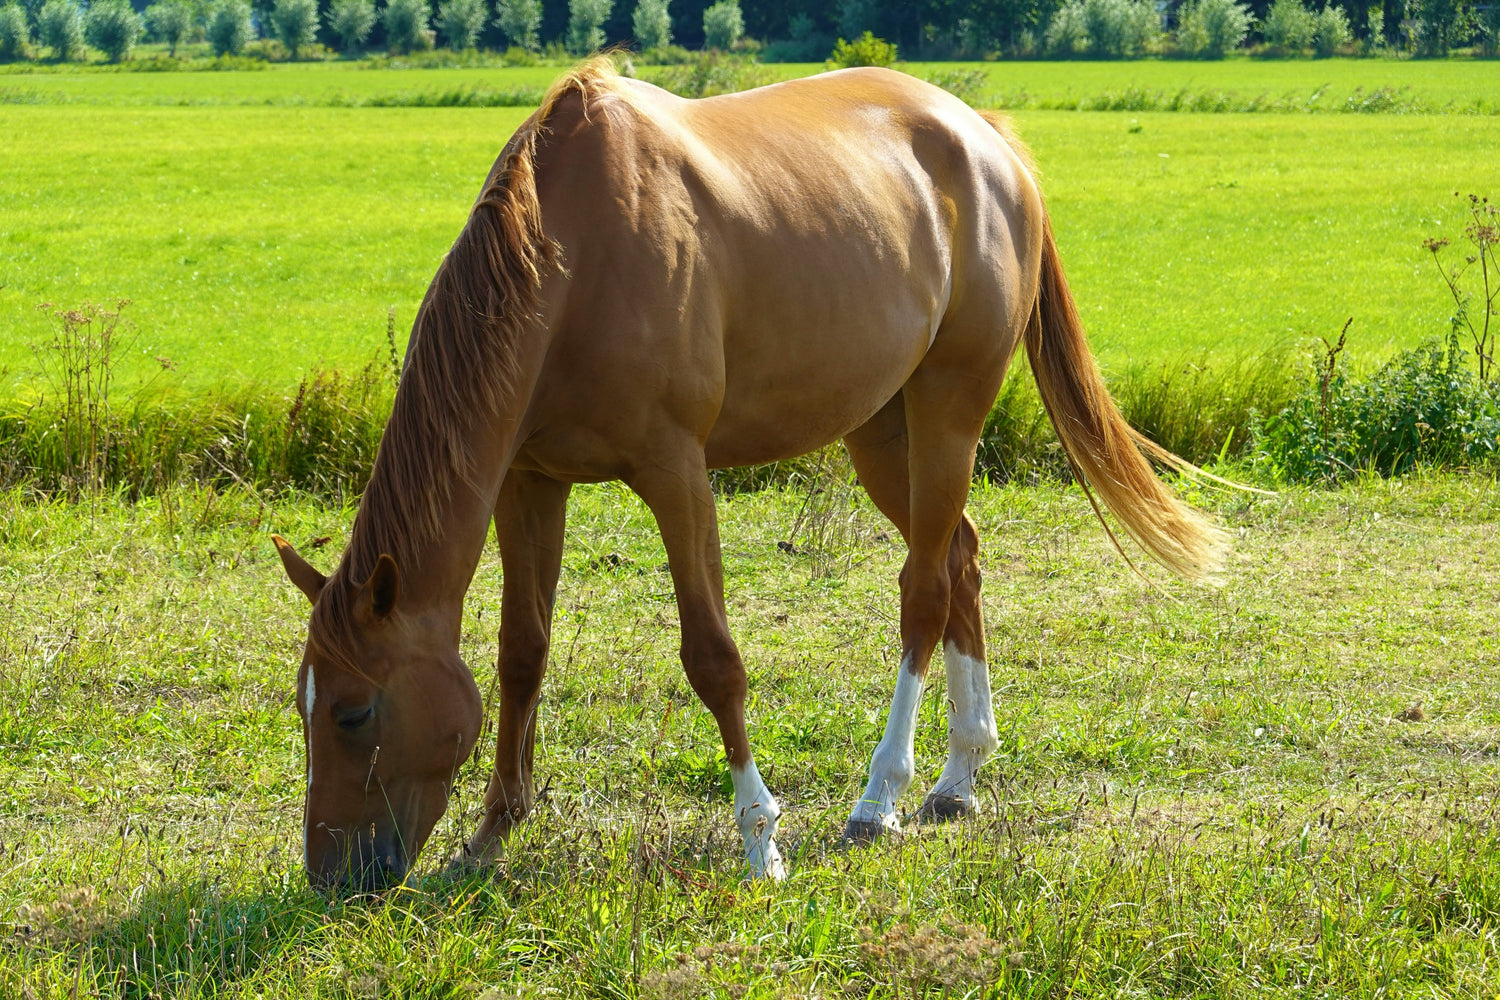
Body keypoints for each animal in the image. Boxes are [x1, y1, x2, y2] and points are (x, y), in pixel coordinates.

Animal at [272, 59, 1225, 890]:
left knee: (923, 590)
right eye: (304, 708)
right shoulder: (530, 481)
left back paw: (880, 797)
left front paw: (760, 841)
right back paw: (958, 778)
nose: (331, 879)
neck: (570, 257)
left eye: (355, 711)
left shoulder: (675, 472)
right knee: (960, 558)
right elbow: (521, 653)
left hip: (949, 407)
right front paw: (493, 832)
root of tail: (987, 140)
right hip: (881, 428)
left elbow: (713, 659)